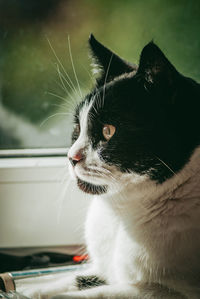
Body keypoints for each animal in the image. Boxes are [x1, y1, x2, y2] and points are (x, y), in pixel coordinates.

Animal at [31, 34, 200, 298]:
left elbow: (97, 293)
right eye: (77, 128)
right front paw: (33, 289)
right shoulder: (103, 269)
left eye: (108, 131)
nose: (71, 157)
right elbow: (76, 279)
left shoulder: (170, 291)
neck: (121, 214)